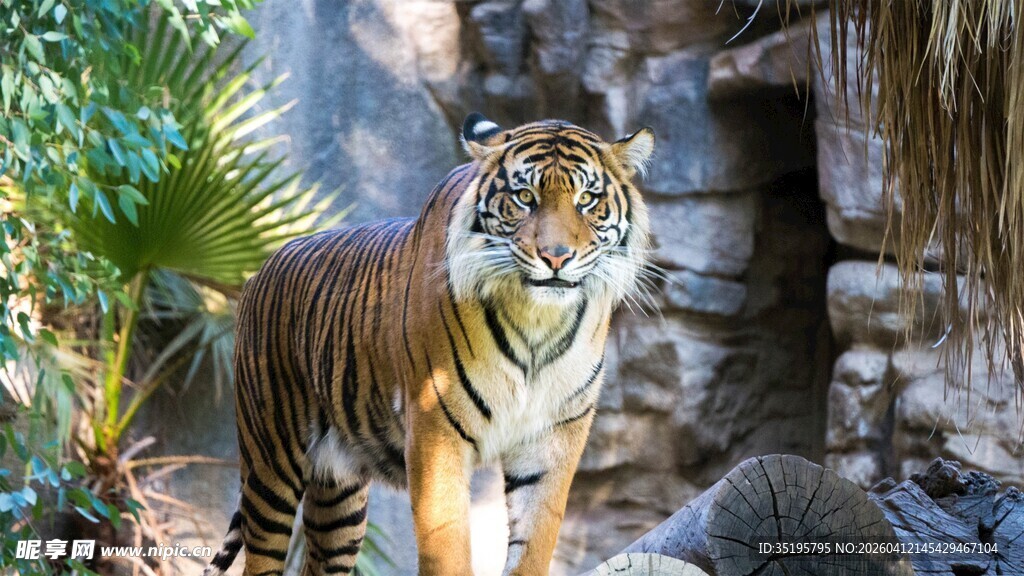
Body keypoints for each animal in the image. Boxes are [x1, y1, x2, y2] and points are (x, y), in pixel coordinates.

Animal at [203, 113, 655, 576]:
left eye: (586, 199)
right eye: (525, 197)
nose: (557, 257)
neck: (537, 320)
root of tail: (259, 270)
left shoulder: (555, 435)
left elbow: (535, 539)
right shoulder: (435, 426)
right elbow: (446, 544)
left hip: (339, 496)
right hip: (271, 462)